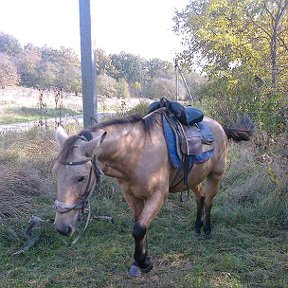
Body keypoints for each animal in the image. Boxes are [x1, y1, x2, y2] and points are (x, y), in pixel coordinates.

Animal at [53, 103, 253, 276]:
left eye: (81, 177)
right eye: (55, 173)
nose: (62, 228)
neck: (136, 152)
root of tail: (220, 127)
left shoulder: (157, 196)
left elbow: (139, 228)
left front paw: (144, 263)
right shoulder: (131, 196)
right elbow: (140, 226)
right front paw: (140, 261)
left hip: (215, 176)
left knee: (209, 201)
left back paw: (207, 230)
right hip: (193, 178)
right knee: (201, 197)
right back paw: (197, 226)